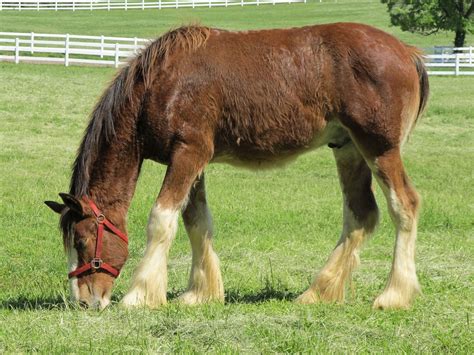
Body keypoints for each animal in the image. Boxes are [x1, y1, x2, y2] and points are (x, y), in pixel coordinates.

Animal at [45, 23, 430, 312]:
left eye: (81, 240)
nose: (85, 302)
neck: (163, 83)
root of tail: (406, 51)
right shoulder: (192, 161)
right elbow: (196, 222)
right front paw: (199, 294)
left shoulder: (188, 154)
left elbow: (161, 220)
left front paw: (140, 295)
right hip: (348, 149)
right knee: (361, 215)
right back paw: (318, 292)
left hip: (379, 149)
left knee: (404, 206)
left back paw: (393, 295)